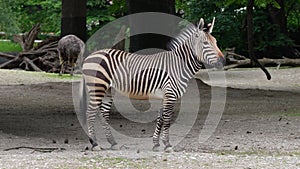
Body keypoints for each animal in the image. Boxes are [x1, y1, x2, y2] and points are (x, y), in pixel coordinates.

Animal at [79, 17, 225, 152]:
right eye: (205, 43)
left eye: (216, 42)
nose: (223, 61)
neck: (178, 65)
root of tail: (89, 56)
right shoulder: (170, 94)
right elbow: (167, 118)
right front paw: (167, 145)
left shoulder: (164, 95)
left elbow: (160, 118)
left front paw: (156, 144)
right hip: (97, 87)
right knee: (90, 113)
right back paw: (95, 144)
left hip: (107, 89)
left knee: (103, 113)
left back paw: (112, 143)